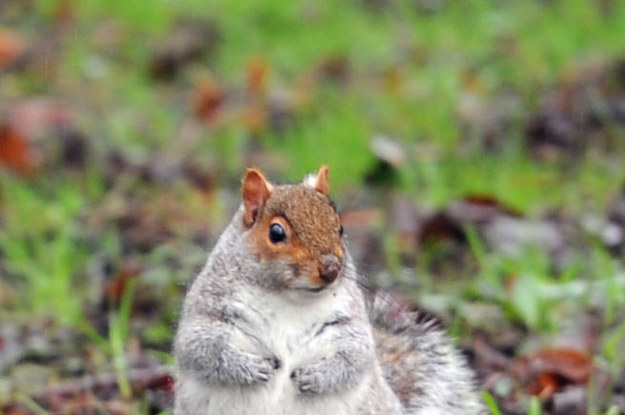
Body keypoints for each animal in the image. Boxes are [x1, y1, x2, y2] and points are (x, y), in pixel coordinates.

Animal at [173, 167, 486, 415]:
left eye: (340, 228)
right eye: (276, 233)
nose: (331, 269)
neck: (290, 298)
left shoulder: (349, 323)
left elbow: (356, 356)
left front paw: (314, 377)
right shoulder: (211, 309)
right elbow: (200, 348)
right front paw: (253, 367)